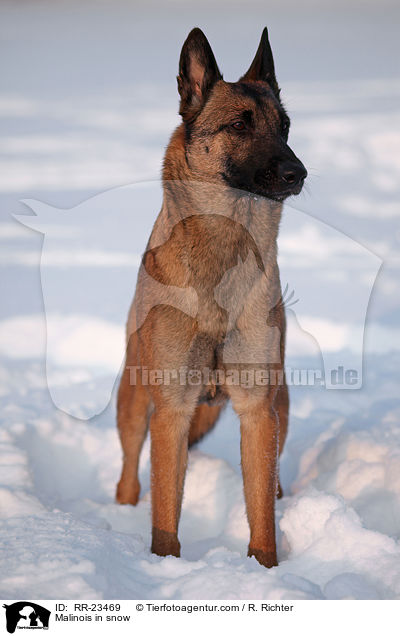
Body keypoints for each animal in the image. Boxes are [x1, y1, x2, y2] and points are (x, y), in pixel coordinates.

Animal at [115, 26, 306, 568]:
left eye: (285, 126)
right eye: (240, 125)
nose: (299, 173)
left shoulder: (258, 412)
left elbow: (261, 508)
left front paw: (266, 569)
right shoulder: (172, 411)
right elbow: (165, 511)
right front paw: (164, 565)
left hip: (281, 404)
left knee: (275, 481)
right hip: (134, 400)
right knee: (129, 474)